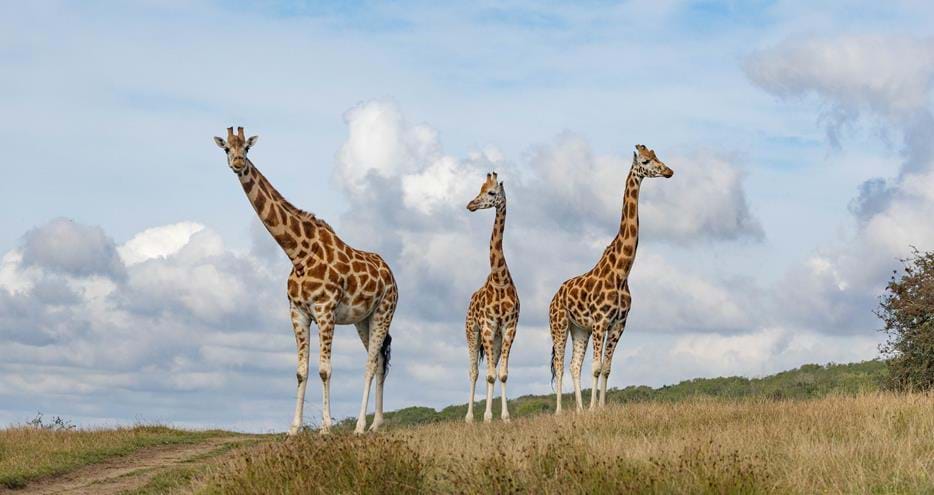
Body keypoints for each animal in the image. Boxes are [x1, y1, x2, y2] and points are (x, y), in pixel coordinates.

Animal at [213, 127, 398, 435]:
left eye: (247, 149)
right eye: (227, 148)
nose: (238, 163)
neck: (298, 254)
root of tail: (392, 275)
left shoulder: (325, 311)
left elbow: (325, 369)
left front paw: (325, 428)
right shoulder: (298, 312)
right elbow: (301, 371)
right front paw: (293, 428)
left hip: (384, 310)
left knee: (371, 363)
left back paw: (360, 426)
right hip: (364, 319)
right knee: (381, 361)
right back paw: (377, 424)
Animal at [549, 144, 672, 414]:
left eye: (657, 156)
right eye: (645, 161)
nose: (669, 171)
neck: (621, 273)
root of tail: (553, 297)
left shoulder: (618, 324)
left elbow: (606, 368)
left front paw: (600, 408)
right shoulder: (600, 322)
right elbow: (596, 367)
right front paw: (594, 409)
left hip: (579, 329)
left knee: (574, 365)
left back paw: (579, 409)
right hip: (559, 324)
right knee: (561, 365)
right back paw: (561, 411)